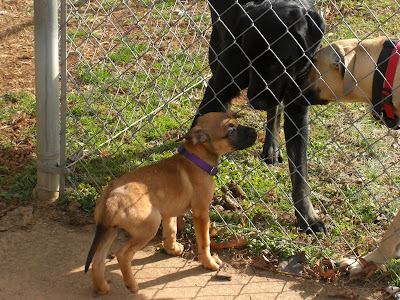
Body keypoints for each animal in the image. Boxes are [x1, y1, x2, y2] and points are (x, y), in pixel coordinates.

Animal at [86, 112, 258, 292]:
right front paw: (208, 262)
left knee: (97, 260)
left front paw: (172, 249)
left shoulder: (169, 211)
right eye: (231, 129)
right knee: (122, 254)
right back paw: (132, 285)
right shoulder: (201, 212)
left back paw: (102, 288)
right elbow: (205, 241)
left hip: (109, 230)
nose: (255, 131)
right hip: (149, 225)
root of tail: (110, 200)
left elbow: (171, 231)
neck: (195, 158)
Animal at [195, 0, 326, 234]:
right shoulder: (218, 87)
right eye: (248, 59)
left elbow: (300, 173)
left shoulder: (297, 106)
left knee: (275, 111)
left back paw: (271, 147)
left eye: (277, 64)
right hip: (216, 47)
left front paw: (308, 217)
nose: (256, 103)